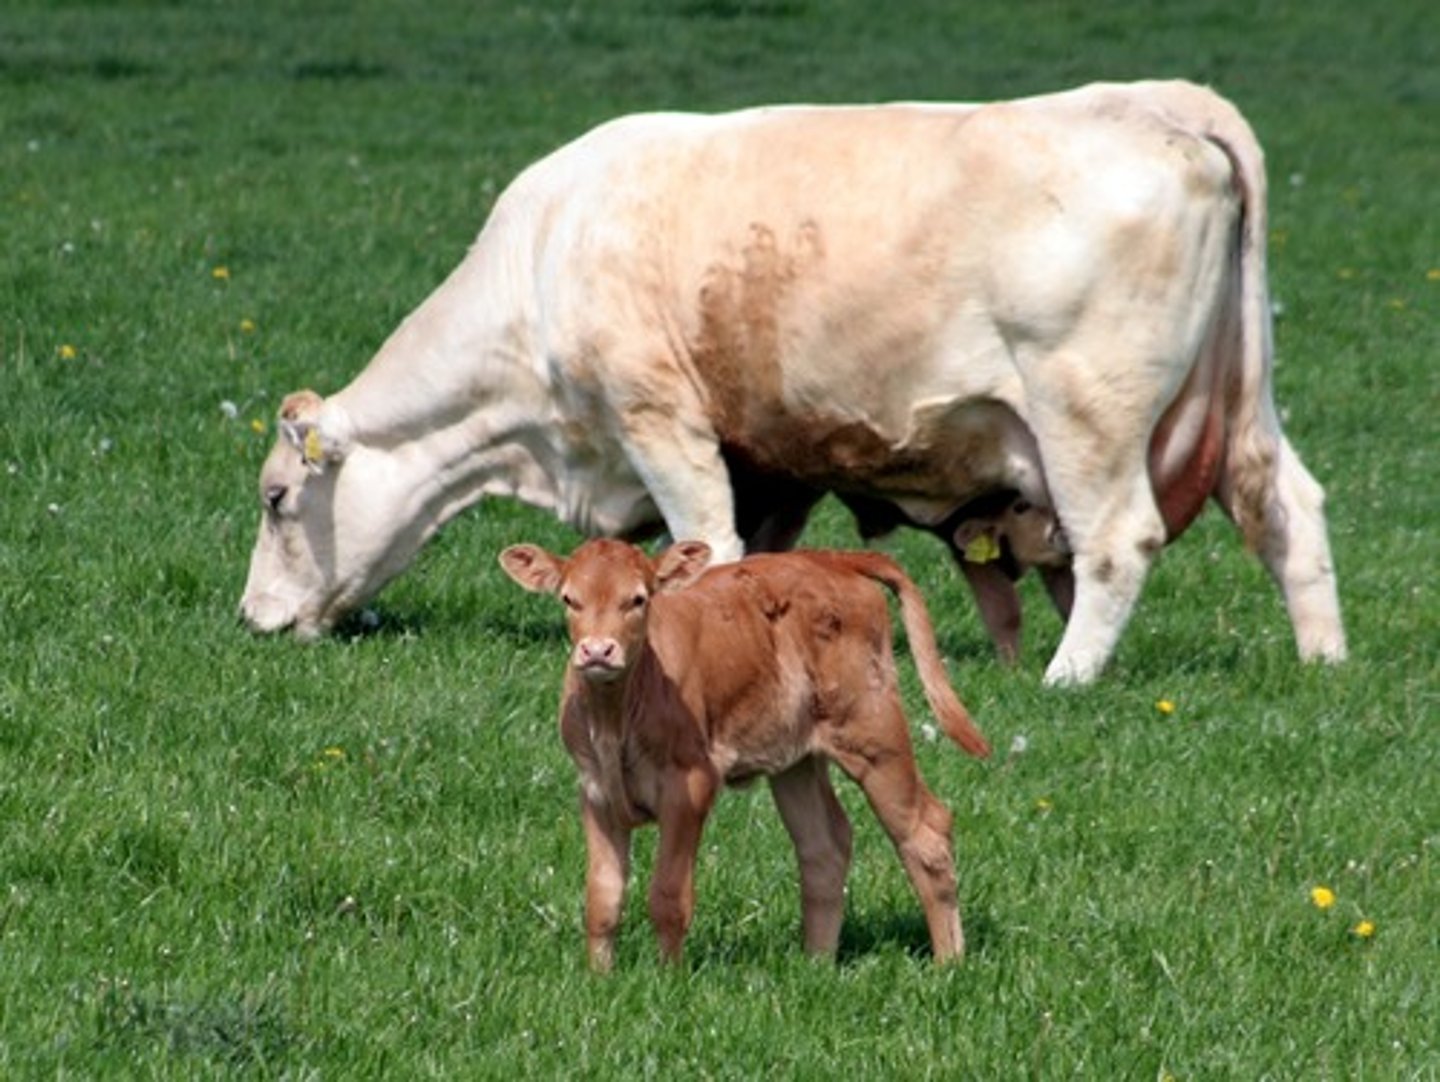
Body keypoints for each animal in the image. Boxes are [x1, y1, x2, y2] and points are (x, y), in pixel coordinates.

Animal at [240, 79, 1348, 685]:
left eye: (278, 498)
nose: (252, 623)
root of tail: (1155, 101)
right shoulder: (769, 461)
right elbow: (753, 561)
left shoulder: (661, 417)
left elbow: (708, 544)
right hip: (1243, 410)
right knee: (1288, 510)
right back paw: (1324, 662)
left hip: (1087, 408)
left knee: (1119, 541)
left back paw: (1065, 676)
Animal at [498, 538, 990, 968]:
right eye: (569, 599)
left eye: (637, 599)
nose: (597, 650)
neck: (616, 718)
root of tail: (830, 558)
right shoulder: (595, 791)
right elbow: (602, 900)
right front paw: (600, 977)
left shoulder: (690, 784)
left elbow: (668, 896)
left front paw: (668, 979)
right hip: (797, 759)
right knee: (824, 844)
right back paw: (816, 965)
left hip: (873, 731)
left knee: (926, 833)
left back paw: (948, 963)